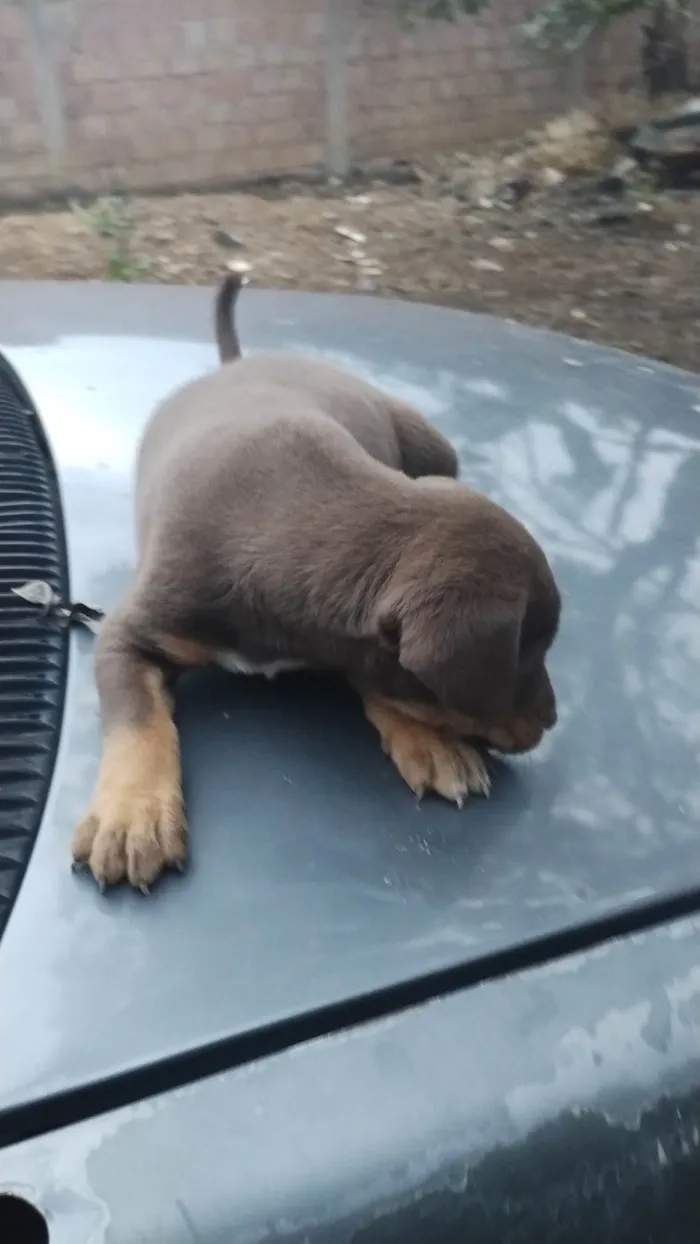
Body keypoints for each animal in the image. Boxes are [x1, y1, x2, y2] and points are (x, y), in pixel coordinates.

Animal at [73, 276, 561, 890]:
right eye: (527, 656)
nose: (553, 719)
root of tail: (240, 361)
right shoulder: (129, 632)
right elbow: (138, 719)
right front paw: (132, 814)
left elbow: (378, 676)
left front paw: (430, 742)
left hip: (431, 444)